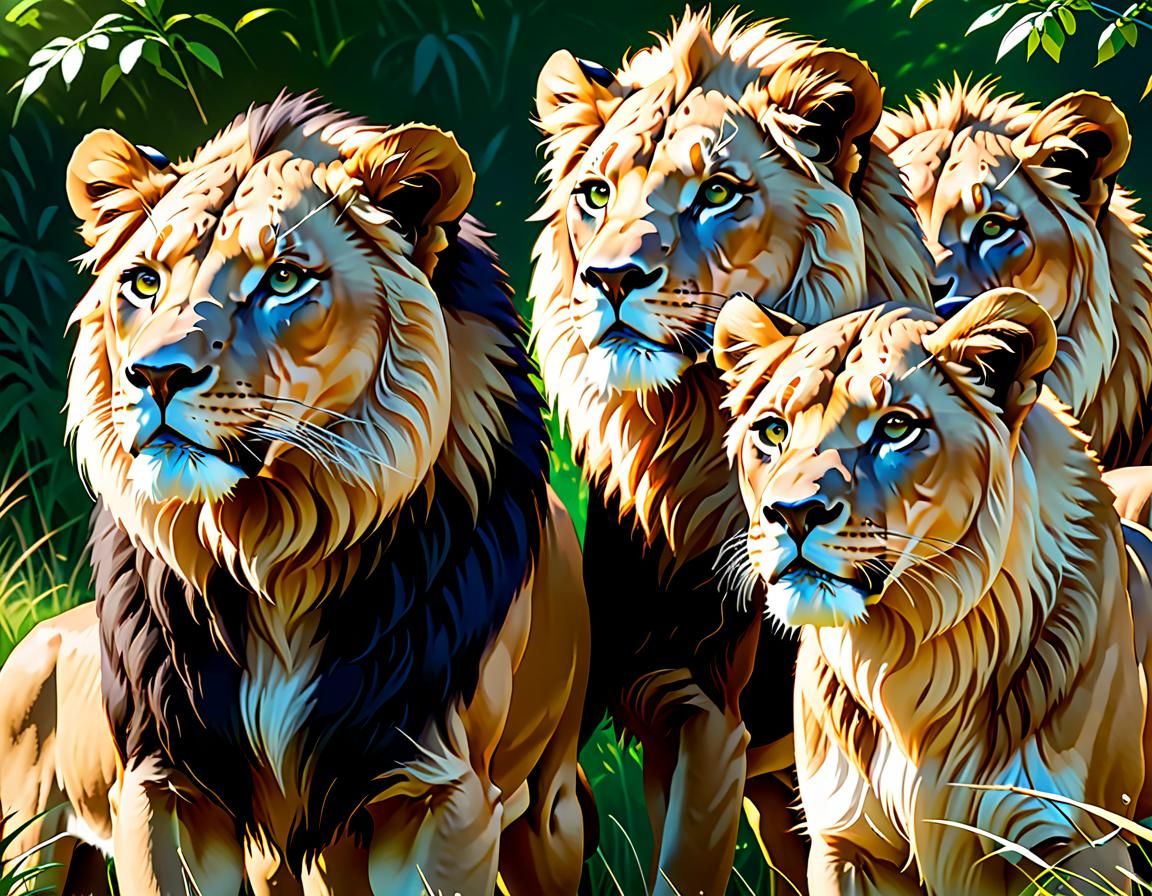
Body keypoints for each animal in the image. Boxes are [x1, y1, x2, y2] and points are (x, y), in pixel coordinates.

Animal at [0, 92, 590, 896]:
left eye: (283, 279)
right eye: (144, 283)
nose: (154, 375)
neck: (273, 545)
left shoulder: (440, 792)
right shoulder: (167, 786)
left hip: (548, 812)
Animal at [531, 8, 932, 892]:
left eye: (716, 192)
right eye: (595, 194)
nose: (610, 278)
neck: (676, 438)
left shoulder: (711, 705)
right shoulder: (652, 686)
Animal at [713, 288, 1152, 895]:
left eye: (897, 428)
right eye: (773, 431)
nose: (792, 513)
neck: (908, 650)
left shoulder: (1082, 844)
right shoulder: (843, 843)